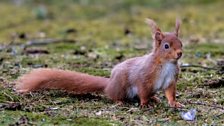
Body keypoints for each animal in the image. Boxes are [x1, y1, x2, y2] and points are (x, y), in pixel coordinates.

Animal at [15, 18, 184, 107]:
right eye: (166, 46)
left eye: (181, 43)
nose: (179, 53)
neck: (166, 64)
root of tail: (109, 84)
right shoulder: (144, 76)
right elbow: (142, 91)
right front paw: (144, 104)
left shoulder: (170, 80)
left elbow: (170, 93)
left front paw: (175, 104)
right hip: (122, 86)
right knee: (115, 95)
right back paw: (121, 101)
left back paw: (154, 98)